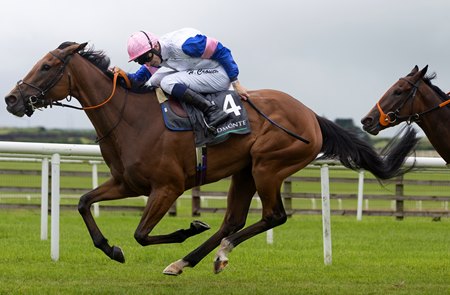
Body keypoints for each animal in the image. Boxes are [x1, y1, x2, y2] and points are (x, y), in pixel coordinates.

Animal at [4, 42, 418, 276]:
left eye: (46, 66)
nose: (11, 99)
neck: (130, 118)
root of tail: (311, 115)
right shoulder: (126, 182)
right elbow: (83, 202)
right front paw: (111, 249)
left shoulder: (168, 187)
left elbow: (142, 234)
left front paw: (186, 229)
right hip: (245, 172)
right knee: (233, 221)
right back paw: (187, 261)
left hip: (269, 165)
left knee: (273, 216)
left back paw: (214, 254)